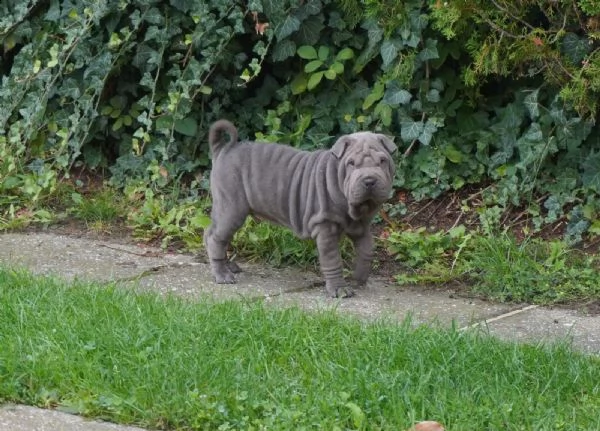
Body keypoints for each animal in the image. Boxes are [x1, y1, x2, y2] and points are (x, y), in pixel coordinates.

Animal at [204, 120, 396, 298]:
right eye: (351, 163)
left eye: (382, 161)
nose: (370, 180)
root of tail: (224, 149)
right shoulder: (325, 227)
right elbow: (333, 260)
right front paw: (339, 289)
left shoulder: (360, 226)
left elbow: (367, 251)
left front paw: (359, 278)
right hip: (231, 207)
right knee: (215, 237)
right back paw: (223, 275)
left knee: (214, 234)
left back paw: (228, 266)